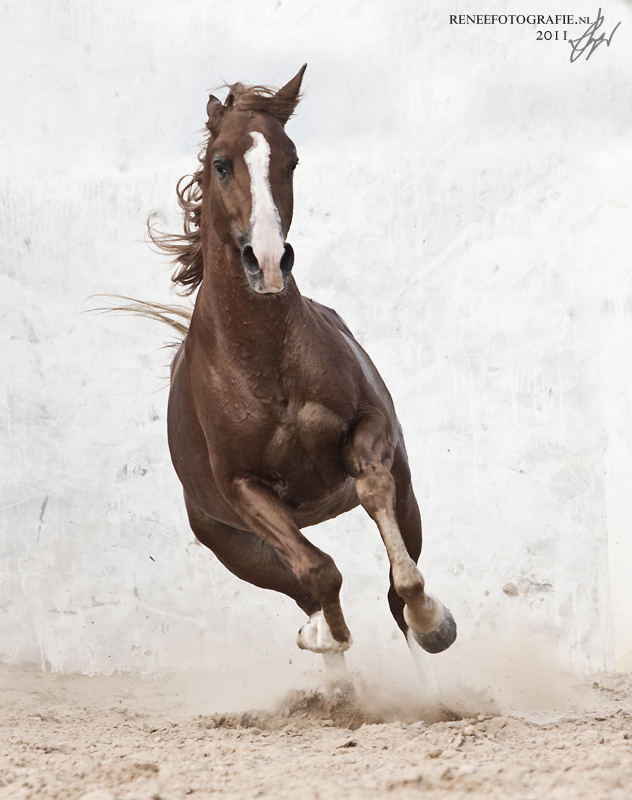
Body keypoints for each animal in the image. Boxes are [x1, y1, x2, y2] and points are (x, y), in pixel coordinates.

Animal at [158, 64, 454, 664]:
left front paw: (433, 618)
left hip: (408, 497)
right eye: (221, 163)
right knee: (305, 588)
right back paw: (326, 647)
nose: (269, 261)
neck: (268, 363)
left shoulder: (372, 429)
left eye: (290, 160)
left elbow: (375, 500)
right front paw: (329, 636)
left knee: (395, 601)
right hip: (236, 548)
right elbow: (319, 572)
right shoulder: (243, 489)